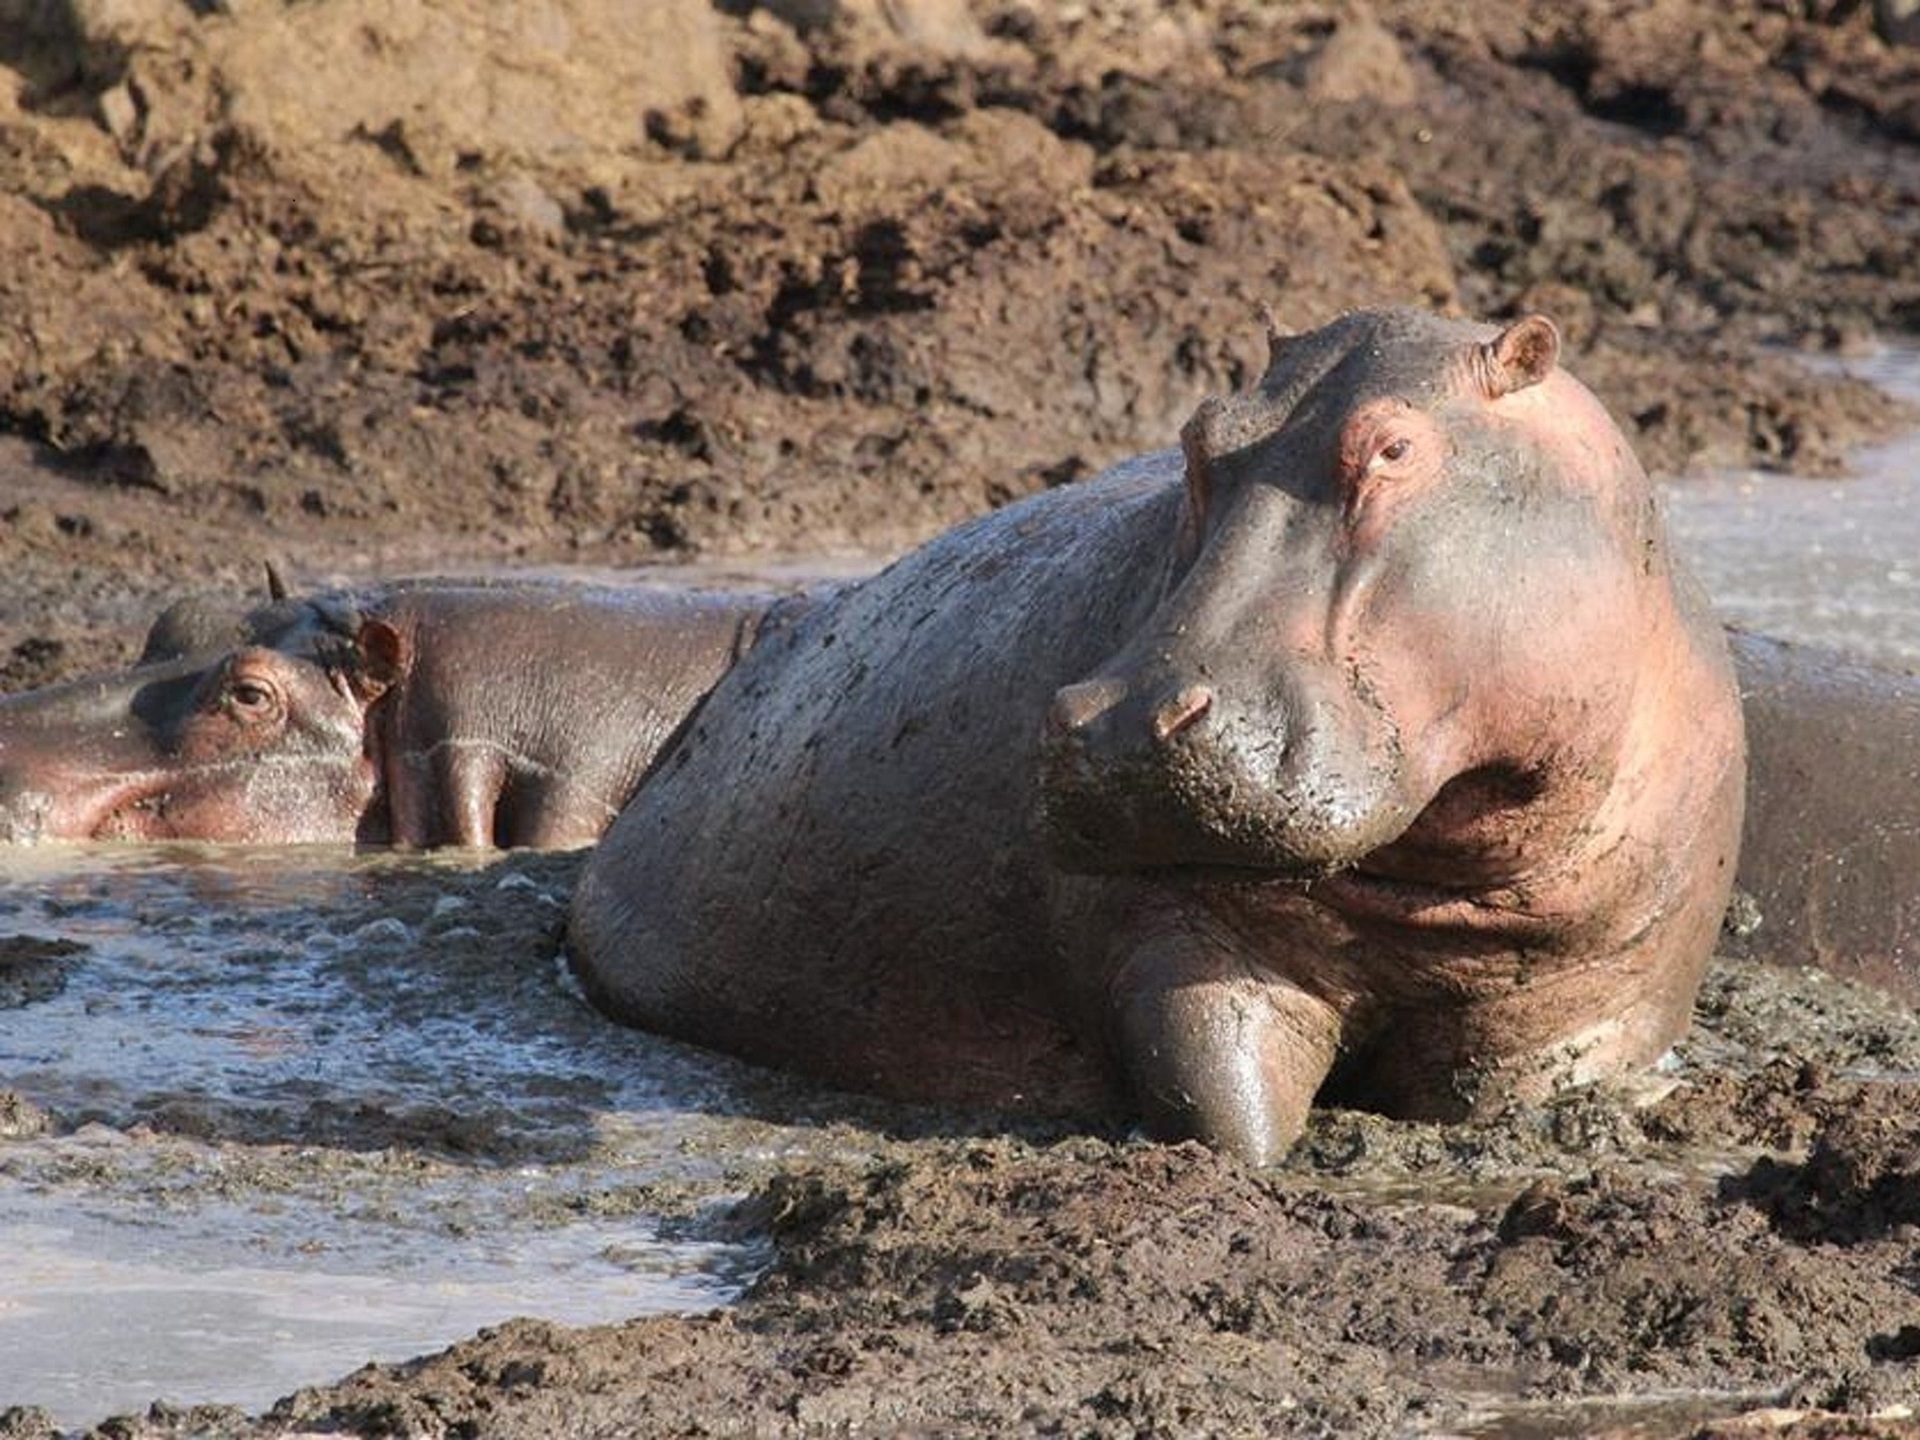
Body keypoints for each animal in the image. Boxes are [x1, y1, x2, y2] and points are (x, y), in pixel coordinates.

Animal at [568, 307, 1748, 1163]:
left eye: (1394, 446)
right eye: (1197, 437)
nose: (1127, 721)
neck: (1443, 868)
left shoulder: (1587, 1004)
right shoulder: (1178, 943)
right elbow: (1226, 1112)